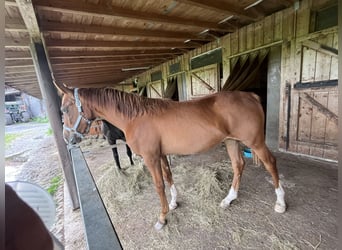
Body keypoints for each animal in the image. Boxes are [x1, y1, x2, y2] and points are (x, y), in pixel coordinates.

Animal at [58, 84, 286, 230]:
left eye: (65, 109)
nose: (67, 138)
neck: (136, 117)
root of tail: (250, 96)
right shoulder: (160, 155)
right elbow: (168, 177)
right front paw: (174, 202)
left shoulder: (150, 157)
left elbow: (159, 185)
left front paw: (162, 217)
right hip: (232, 141)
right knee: (238, 165)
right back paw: (229, 199)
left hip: (255, 142)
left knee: (271, 163)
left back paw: (281, 202)